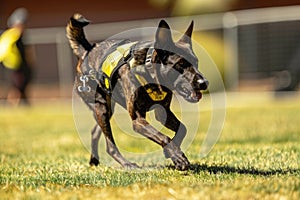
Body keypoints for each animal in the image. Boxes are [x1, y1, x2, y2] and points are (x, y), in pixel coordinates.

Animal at [66, 13, 209, 170]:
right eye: (180, 64)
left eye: (196, 62)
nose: (204, 83)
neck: (148, 71)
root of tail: (87, 51)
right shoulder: (138, 121)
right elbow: (163, 136)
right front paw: (178, 157)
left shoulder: (162, 113)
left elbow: (182, 129)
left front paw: (171, 151)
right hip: (101, 107)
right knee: (110, 146)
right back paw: (128, 164)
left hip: (107, 110)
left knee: (95, 132)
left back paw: (94, 160)